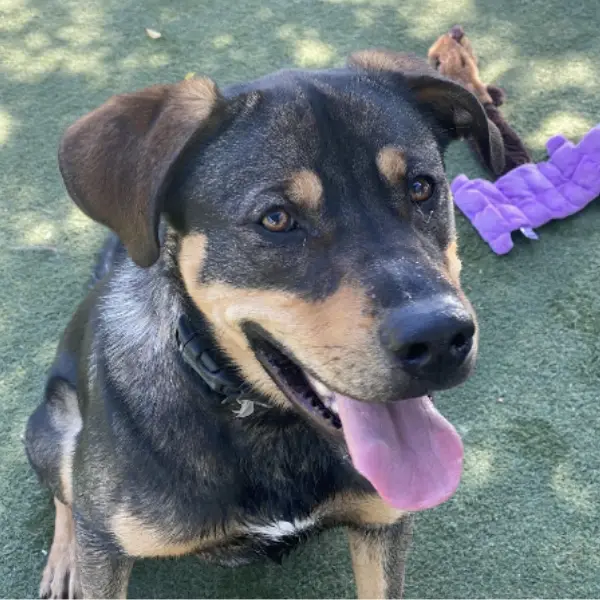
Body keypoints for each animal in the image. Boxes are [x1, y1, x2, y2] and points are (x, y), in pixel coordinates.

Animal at [23, 49, 502, 596]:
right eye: (276, 219)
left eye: (422, 188)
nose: (441, 339)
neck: (266, 422)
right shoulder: (106, 545)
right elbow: (87, 526)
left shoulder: (384, 523)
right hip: (50, 433)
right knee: (66, 495)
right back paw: (65, 558)